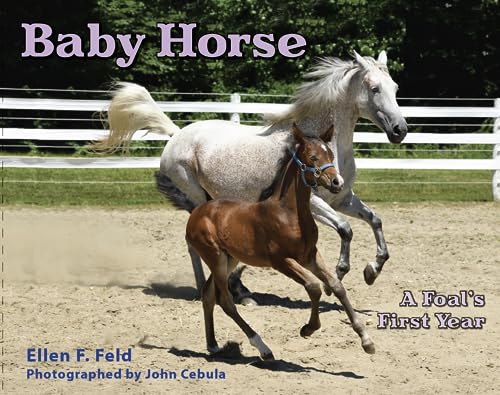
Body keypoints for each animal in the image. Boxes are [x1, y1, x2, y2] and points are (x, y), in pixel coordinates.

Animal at [95, 51, 408, 302]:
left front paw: (372, 270)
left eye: (395, 87)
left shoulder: (342, 198)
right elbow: (346, 228)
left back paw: (240, 290)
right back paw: (205, 288)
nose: (400, 130)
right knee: (193, 243)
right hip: (196, 198)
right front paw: (340, 274)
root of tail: (176, 134)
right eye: (374, 88)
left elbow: (375, 220)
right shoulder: (313, 203)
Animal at [186, 125, 374, 360]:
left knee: (209, 295)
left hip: (228, 259)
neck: (289, 213)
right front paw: (308, 329)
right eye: (313, 157)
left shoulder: (310, 255)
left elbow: (336, 286)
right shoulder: (280, 261)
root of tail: (196, 214)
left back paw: (212, 345)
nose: (337, 183)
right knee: (226, 302)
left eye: (330, 155)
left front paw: (366, 340)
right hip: (215, 258)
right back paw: (263, 348)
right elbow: (314, 286)